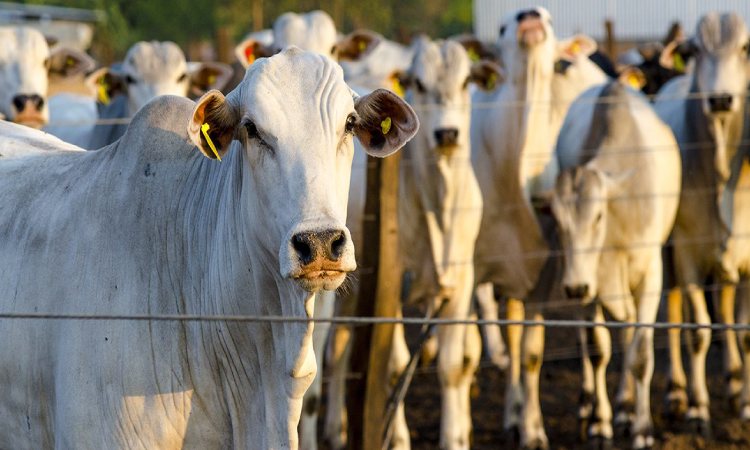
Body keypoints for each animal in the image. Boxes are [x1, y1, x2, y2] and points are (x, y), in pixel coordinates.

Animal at [470, 7, 612, 446]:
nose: (530, 15)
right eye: (501, 26)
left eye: (547, 17)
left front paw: (533, 428)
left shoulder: (545, 268)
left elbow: (533, 353)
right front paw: (517, 418)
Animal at [556, 82, 684, 448]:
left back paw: (629, 410)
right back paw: (617, 407)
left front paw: (642, 429)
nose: (574, 287)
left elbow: (640, 355)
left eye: (598, 216)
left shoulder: (652, 275)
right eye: (557, 221)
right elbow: (598, 350)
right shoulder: (589, 283)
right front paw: (600, 423)